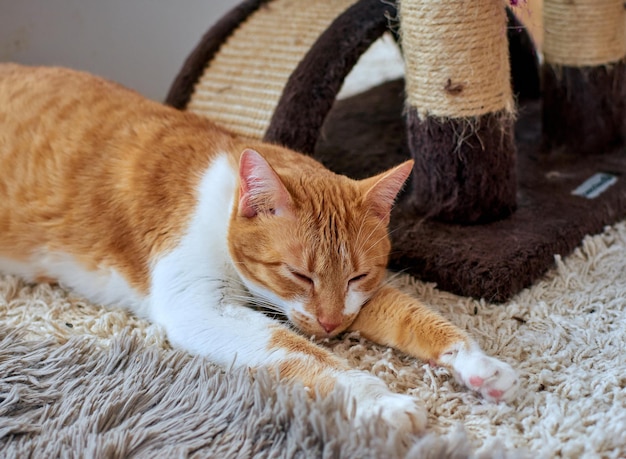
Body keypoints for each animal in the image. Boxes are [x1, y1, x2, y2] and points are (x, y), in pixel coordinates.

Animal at [0, 63, 516, 432]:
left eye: (357, 275)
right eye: (299, 274)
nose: (331, 325)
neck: (221, 203)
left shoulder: (358, 300)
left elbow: (417, 318)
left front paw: (479, 366)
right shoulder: (202, 308)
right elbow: (304, 354)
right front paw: (379, 399)